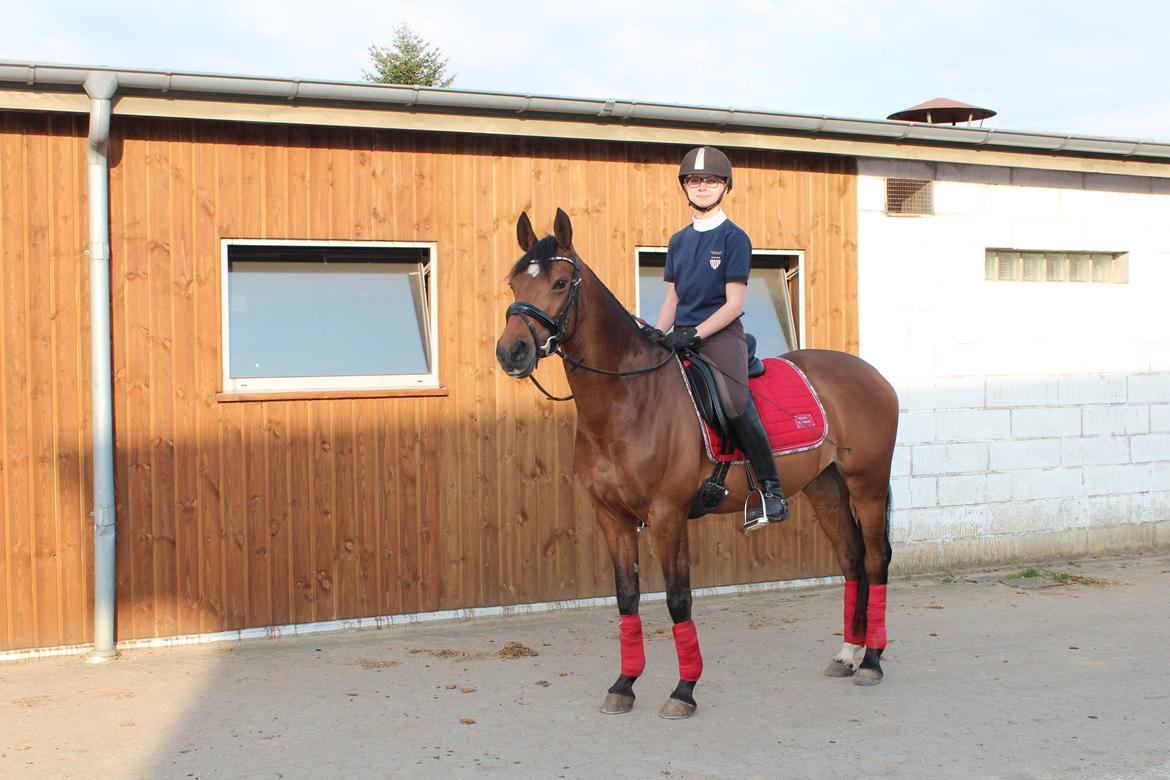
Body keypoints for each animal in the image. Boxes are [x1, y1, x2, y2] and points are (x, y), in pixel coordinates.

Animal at [495, 209, 899, 719]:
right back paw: (848, 654)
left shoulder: (668, 516)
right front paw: (624, 684)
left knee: (875, 559)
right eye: (514, 283)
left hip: (867, 485)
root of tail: (871, 373)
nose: (511, 352)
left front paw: (683, 690)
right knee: (850, 559)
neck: (629, 398)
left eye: (561, 282)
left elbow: (677, 599)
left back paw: (873, 661)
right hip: (825, 487)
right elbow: (626, 598)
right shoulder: (612, 517)